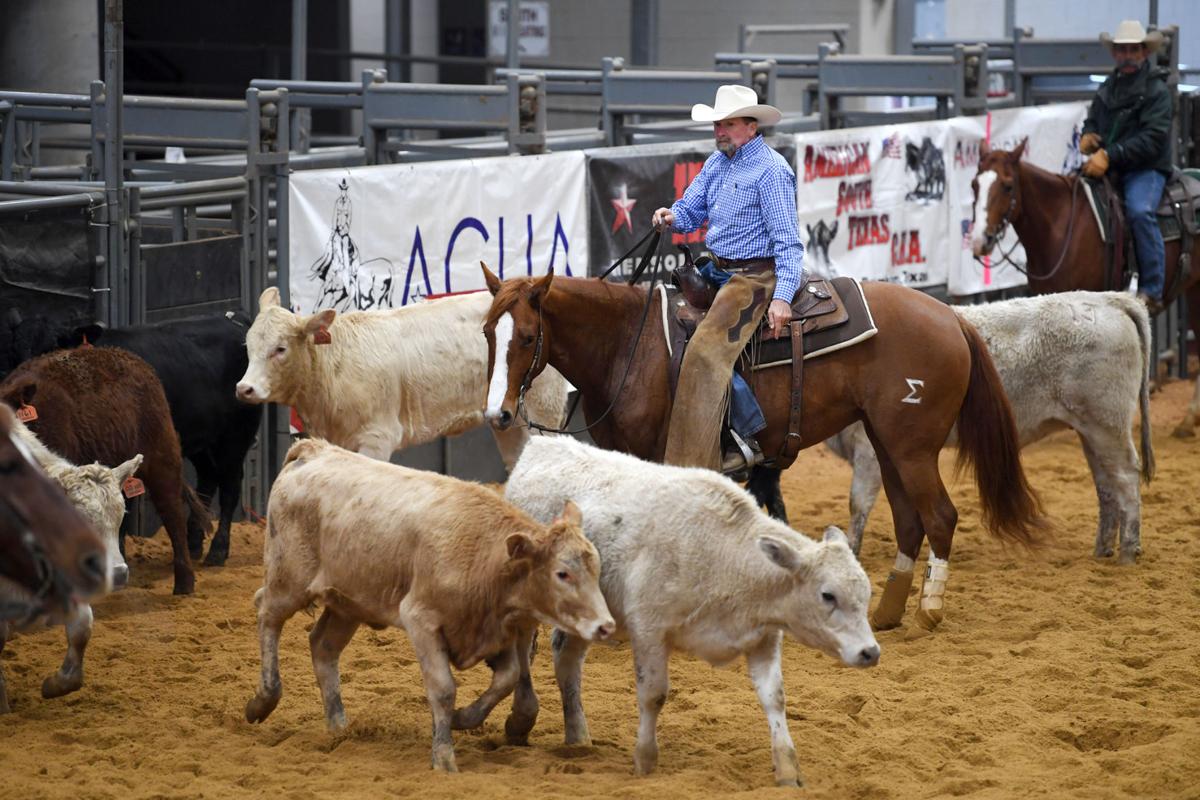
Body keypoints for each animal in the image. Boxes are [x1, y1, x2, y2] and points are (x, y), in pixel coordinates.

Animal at [480, 264, 1046, 633]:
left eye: (527, 336)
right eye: (487, 331)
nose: (498, 414)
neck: (628, 346)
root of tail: (952, 317)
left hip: (913, 446)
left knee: (941, 515)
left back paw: (929, 609)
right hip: (888, 442)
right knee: (910, 519)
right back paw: (886, 613)